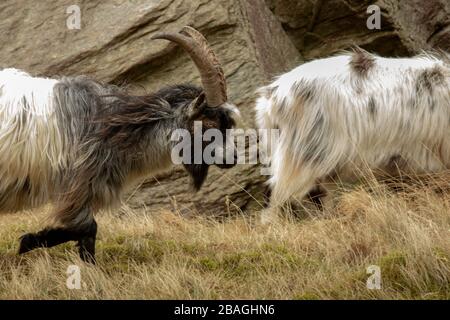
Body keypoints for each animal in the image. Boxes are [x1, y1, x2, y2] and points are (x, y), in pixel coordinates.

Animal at [0, 26, 239, 262]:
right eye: (208, 123)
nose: (233, 157)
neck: (114, 127)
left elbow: (86, 234)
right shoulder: (77, 185)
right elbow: (87, 228)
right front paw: (28, 242)